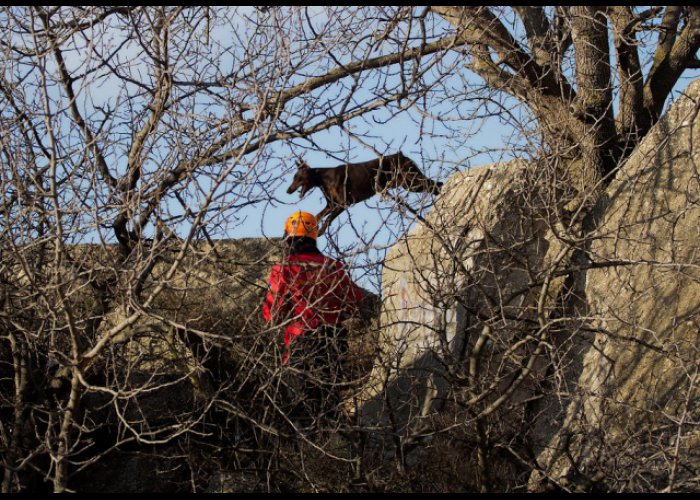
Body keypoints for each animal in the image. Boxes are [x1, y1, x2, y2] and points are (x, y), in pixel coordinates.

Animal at [286, 151, 442, 235]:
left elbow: (329, 219)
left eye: (297, 177)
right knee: (435, 186)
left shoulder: (343, 204)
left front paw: (320, 232)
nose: (288, 190)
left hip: (412, 182)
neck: (324, 178)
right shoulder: (331, 205)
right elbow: (318, 216)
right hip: (409, 184)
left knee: (435, 185)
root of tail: (402, 156)